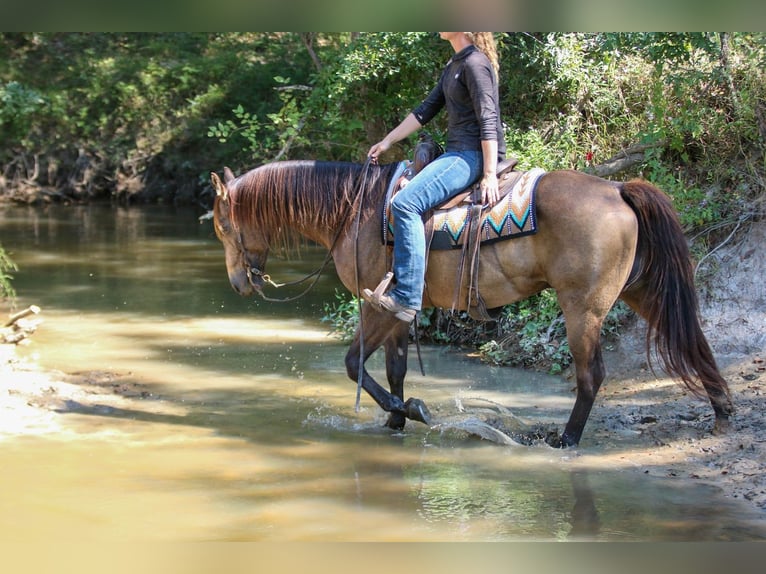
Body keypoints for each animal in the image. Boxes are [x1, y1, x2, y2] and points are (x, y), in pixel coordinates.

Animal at [210, 160, 733, 447]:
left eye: (220, 225)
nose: (238, 283)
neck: (354, 212)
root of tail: (618, 190)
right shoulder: (399, 308)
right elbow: (395, 369)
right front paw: (396, 418)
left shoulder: (376, 305)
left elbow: (354, 362)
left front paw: (410, 411)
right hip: (641, 291)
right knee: (691, 342)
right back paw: (722, 411)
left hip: (582, 308)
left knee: (591, 376)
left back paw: (566, 441)